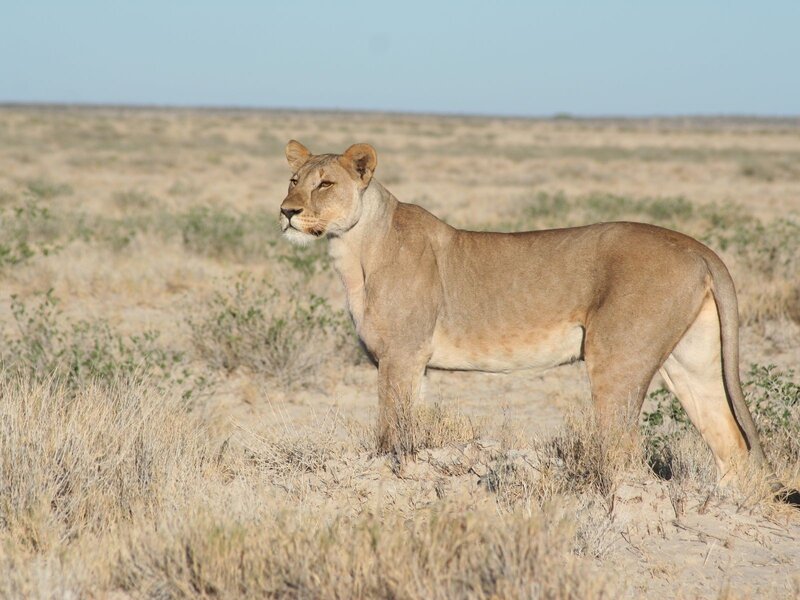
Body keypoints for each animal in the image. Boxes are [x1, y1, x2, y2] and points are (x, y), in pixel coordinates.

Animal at [279, 139, 796, 501]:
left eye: (325, 184)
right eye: (293, 180)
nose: (286, 212)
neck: (352, 250)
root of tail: (700, 247)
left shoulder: (400, 356)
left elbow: (390, 434)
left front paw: (388, 477)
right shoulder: (412, 363)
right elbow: (410, 427)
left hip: (617, 359)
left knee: (624, 449)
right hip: (691, 363)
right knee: (731, 442)